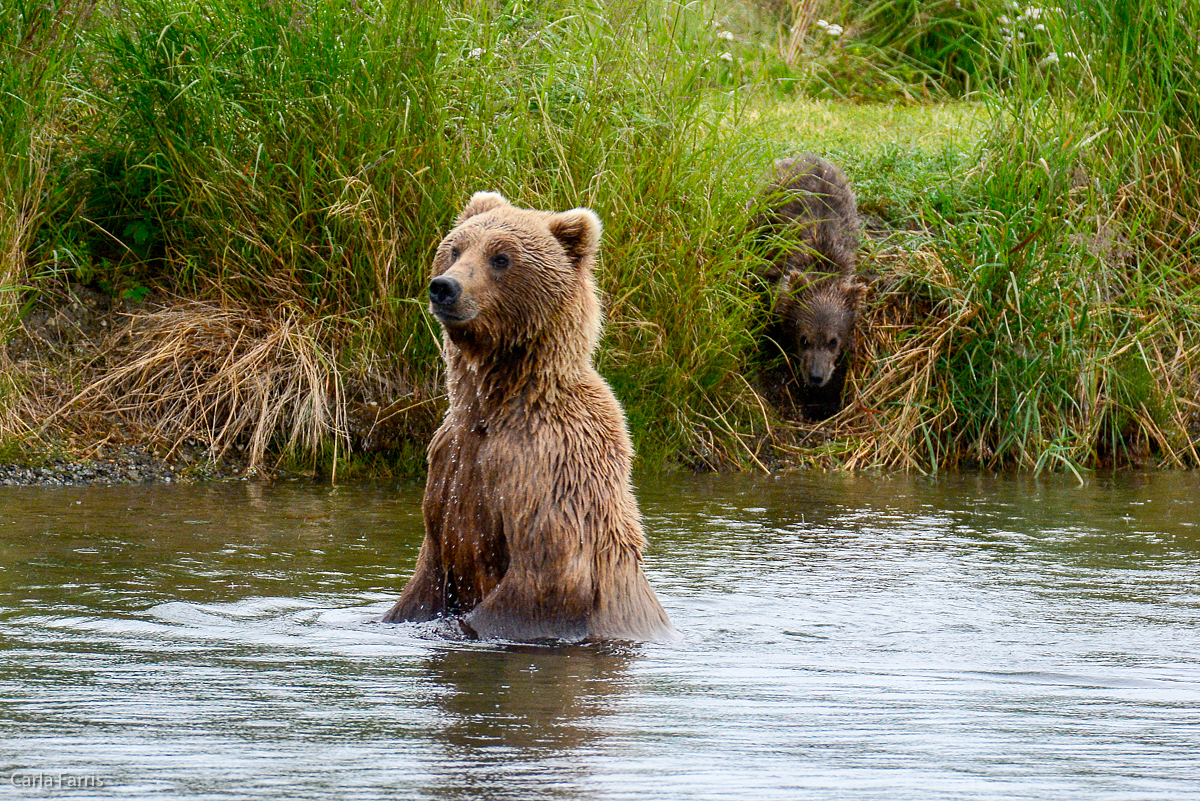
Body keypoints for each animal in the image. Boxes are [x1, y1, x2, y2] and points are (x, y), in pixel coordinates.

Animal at [384, 189, 676, 642]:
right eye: (455, 248)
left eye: (501, 257)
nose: (445, 287)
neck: (497, 401)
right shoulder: (452, 462)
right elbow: (425, 576)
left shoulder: (548, 466)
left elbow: (545, 578)